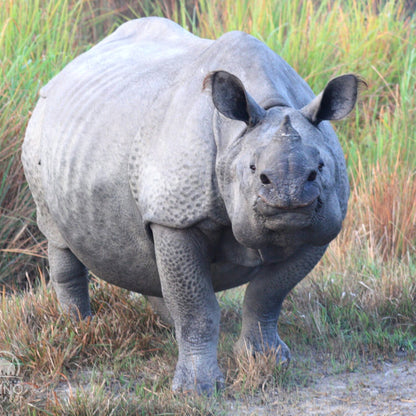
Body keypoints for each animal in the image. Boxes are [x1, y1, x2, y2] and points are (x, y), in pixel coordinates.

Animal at [22, 16, 360, 394]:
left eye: (320, 168)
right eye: (254, 170)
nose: (290, 196)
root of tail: (67, 70)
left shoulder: (323, 228)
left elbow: (268, 293)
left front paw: (268, 359)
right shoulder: (175, 217)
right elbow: (197, 306)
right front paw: (197, 389)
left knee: (147, 259)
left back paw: (163, 326)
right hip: (40, 130)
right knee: (57, 235)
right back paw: (79, 328)